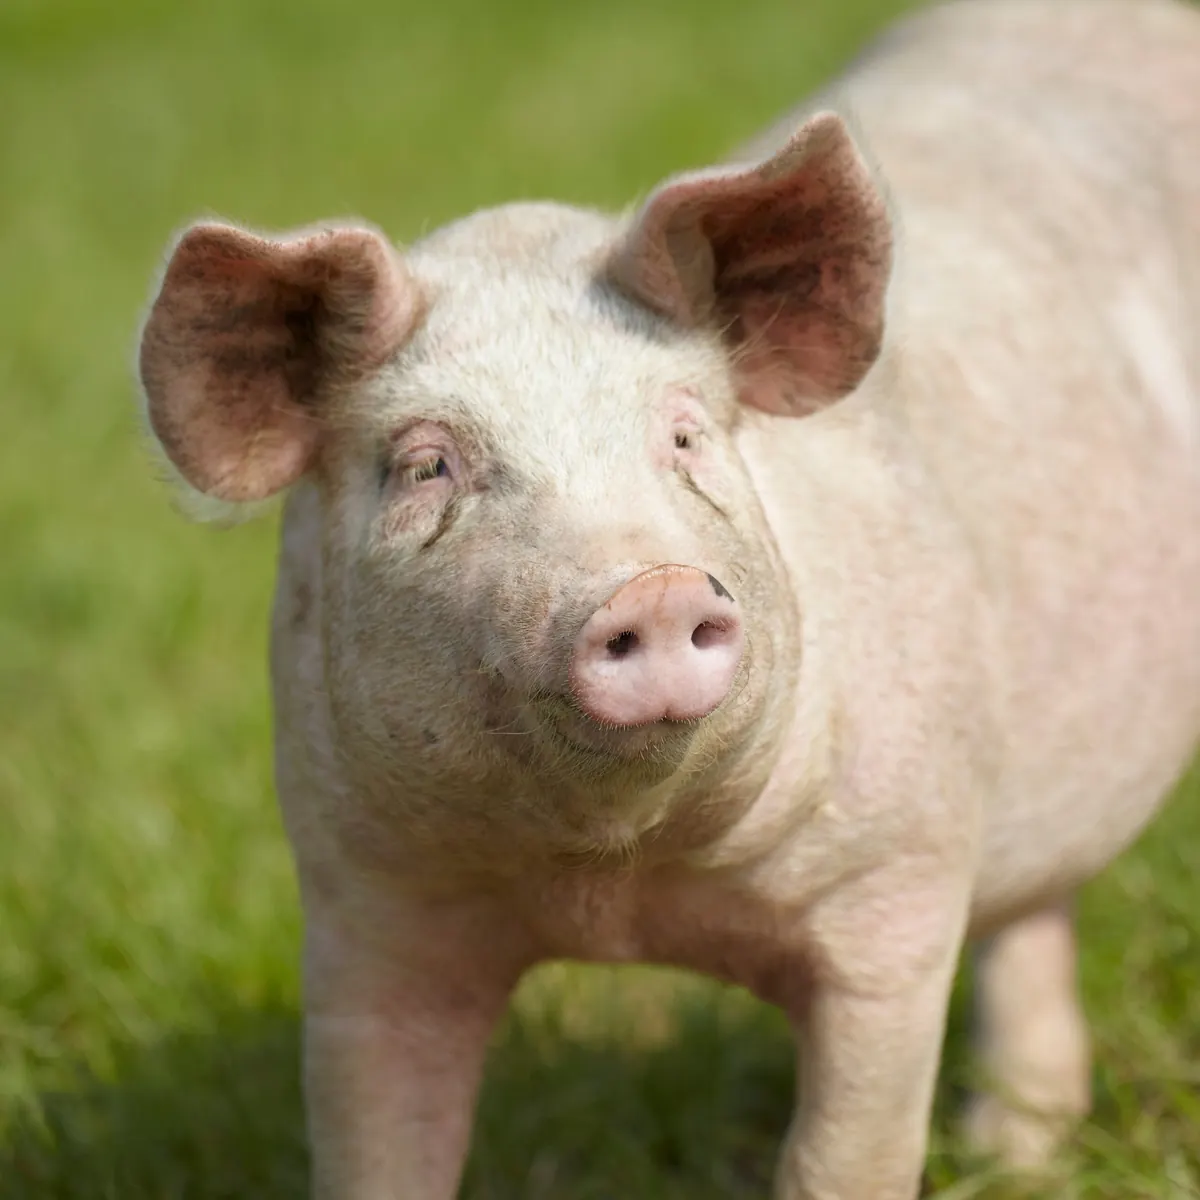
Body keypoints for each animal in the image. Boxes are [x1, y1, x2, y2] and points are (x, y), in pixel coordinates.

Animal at [135, 0, 1200, 1195]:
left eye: (686, 436)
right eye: (426, 467)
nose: (648, 584)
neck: (618, 886)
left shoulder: (899, 880)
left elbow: (848, 1150)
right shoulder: (364, 900)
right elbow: (377, 1148)